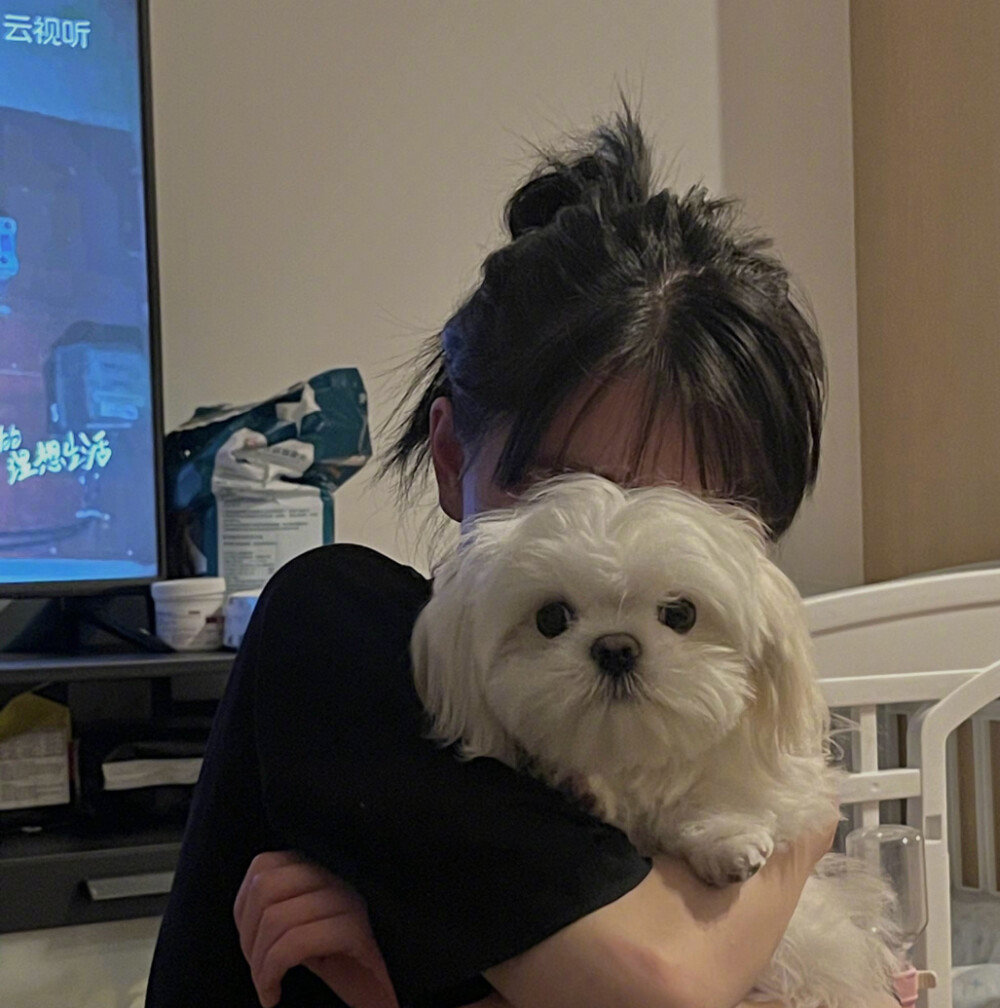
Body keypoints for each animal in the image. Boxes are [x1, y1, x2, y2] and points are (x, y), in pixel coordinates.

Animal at [412, 474, 902, 1008]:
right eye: (551, 618)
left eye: (681, 613)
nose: (615, 647)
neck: (632, 755)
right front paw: (581, 788)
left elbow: (718, 795)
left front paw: (726, 839)